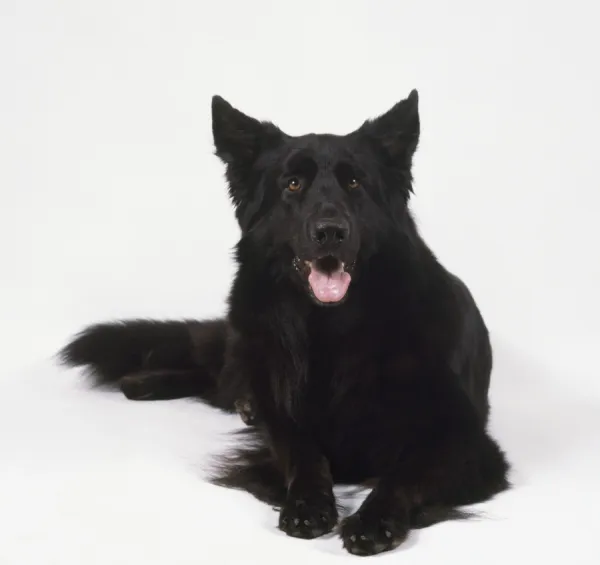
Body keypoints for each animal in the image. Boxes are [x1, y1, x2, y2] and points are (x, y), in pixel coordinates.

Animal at [59, 92, 510, 556]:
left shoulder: (464, 442)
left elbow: (403, 476)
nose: (330, 232)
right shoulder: (284, 418)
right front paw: (308, 503)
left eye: (355, 183)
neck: (334, 330)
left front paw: (373, 519)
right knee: (220, 375)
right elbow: (302, 452)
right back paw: (149, 383)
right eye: (292, 184)